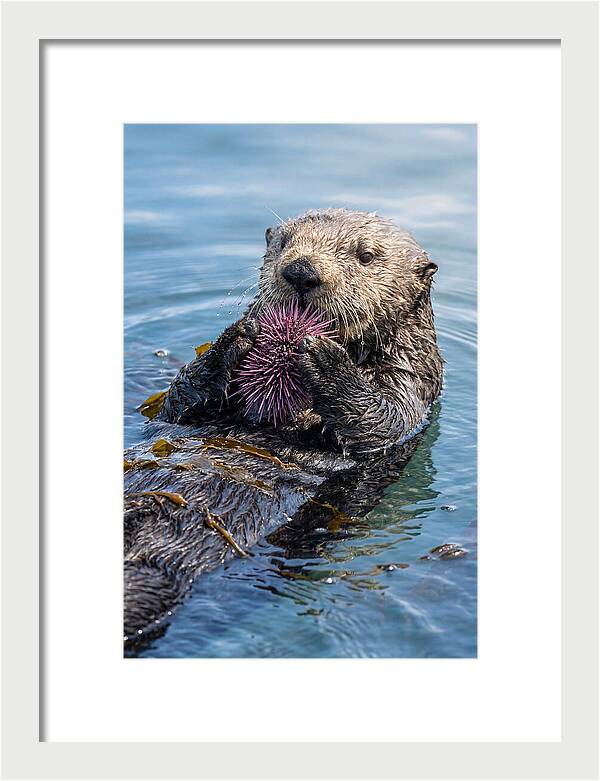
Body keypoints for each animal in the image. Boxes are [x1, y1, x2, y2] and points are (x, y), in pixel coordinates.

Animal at [124, 209, 443, 652]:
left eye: (365, 255)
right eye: (283, 243)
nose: (301, 271)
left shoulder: (411, 385)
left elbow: (381, 421)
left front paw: (326, 360)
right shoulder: (181, 411)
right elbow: (177, 402)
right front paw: (235, 337)